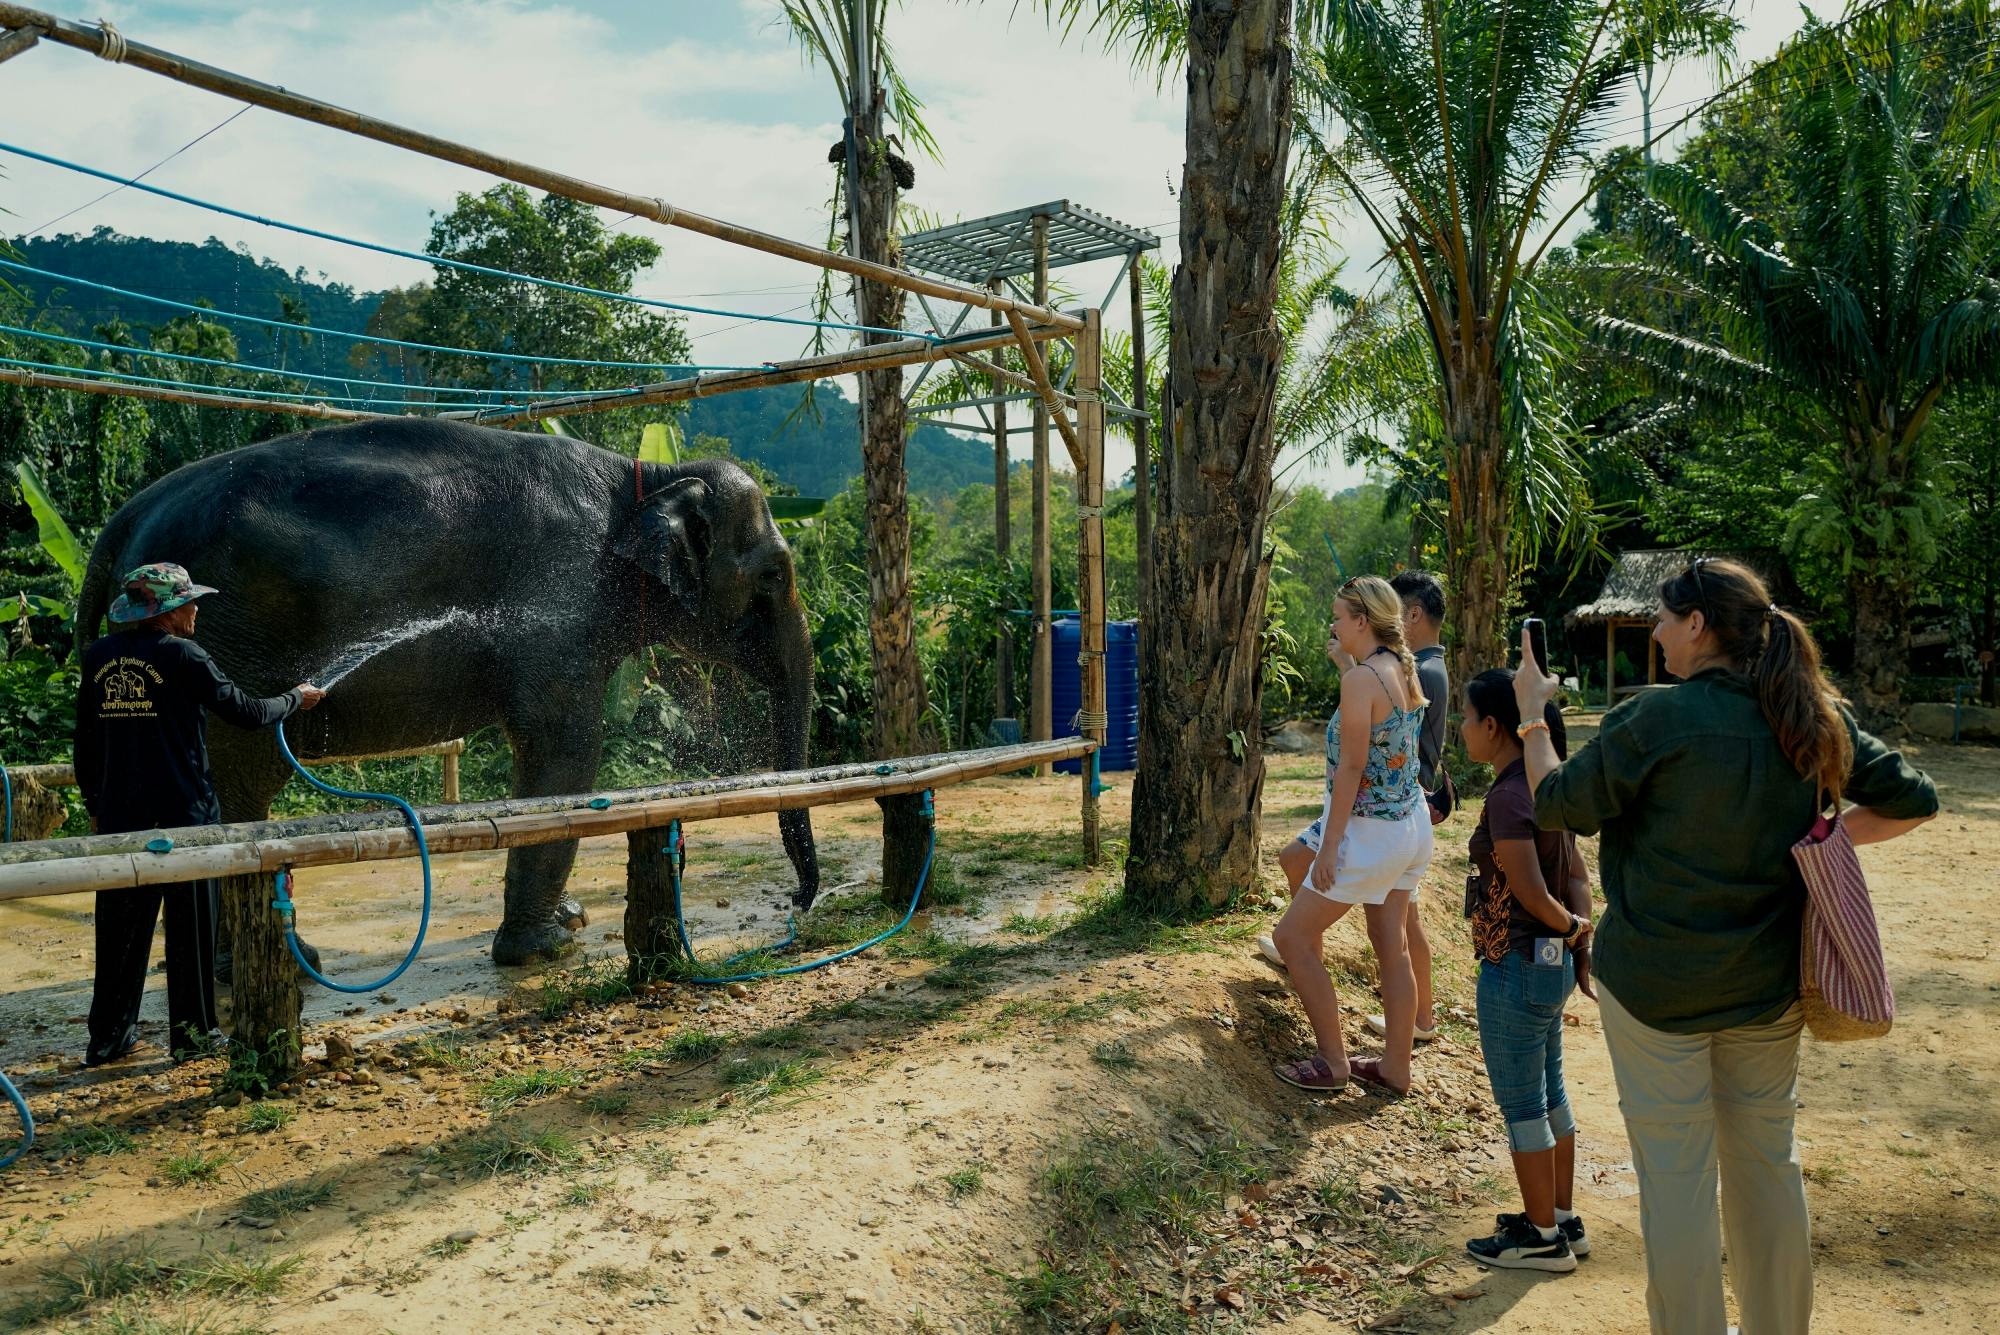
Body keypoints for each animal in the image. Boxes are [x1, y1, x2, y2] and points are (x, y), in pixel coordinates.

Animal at [75, 417, 820, 965]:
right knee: (241, 786)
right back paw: (284, 964)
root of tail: (126, 517)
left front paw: (571, 920)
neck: (644, 478)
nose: (797, 902)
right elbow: (564, 752)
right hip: (228, 640)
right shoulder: (561, 606)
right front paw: (541, 948)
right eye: (774, 573)